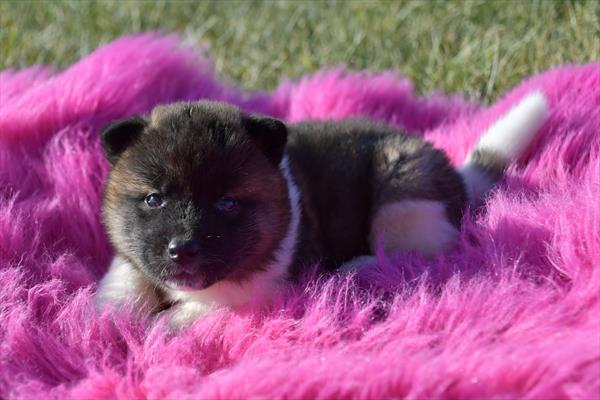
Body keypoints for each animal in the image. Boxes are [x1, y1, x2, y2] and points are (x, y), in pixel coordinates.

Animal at [95, 93, 548, 324]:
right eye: (154, 199)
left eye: (227, 203)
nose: (182, 250)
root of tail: (457, 179)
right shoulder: (131, 259)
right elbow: (122, 287)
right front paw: (104, 320)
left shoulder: (256, 290)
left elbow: (197, 310)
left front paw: (160, 328)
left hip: (404, 199)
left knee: (420, 253)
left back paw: (357, 269)